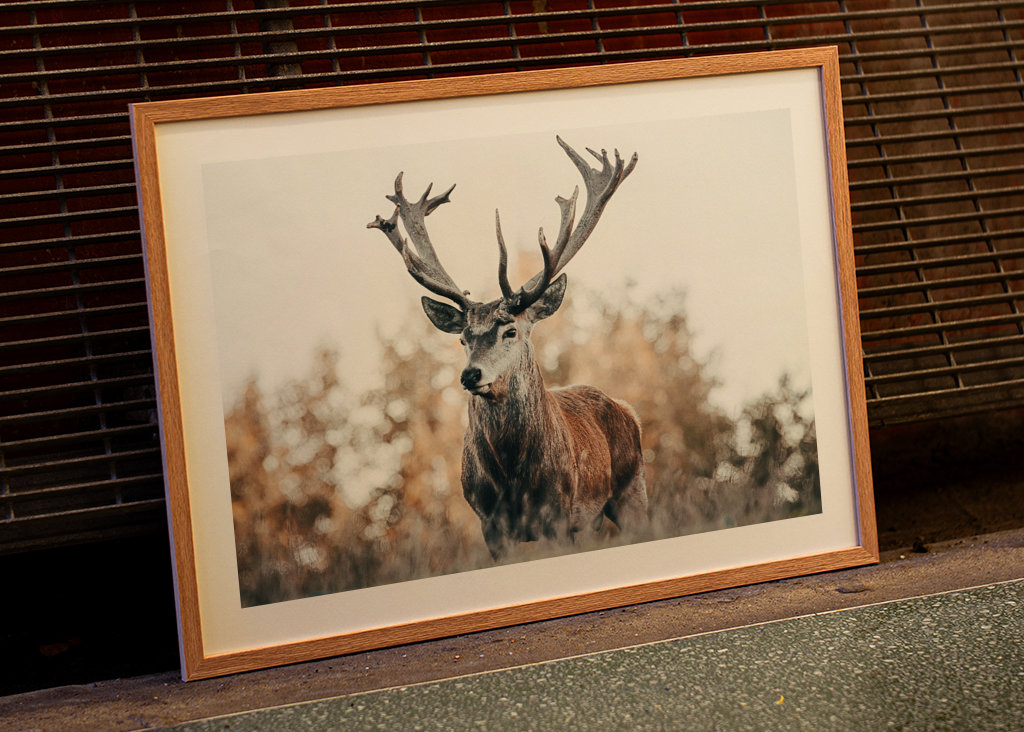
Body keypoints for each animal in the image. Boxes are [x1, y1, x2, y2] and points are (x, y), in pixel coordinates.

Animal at [368, 136, 648, 560]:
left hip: (632, 490)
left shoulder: (559, 515)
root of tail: (628, 410)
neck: (515, 481)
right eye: (462, 338)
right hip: (594, 520)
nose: (471, 374)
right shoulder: (490, 523)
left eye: (511, 330)